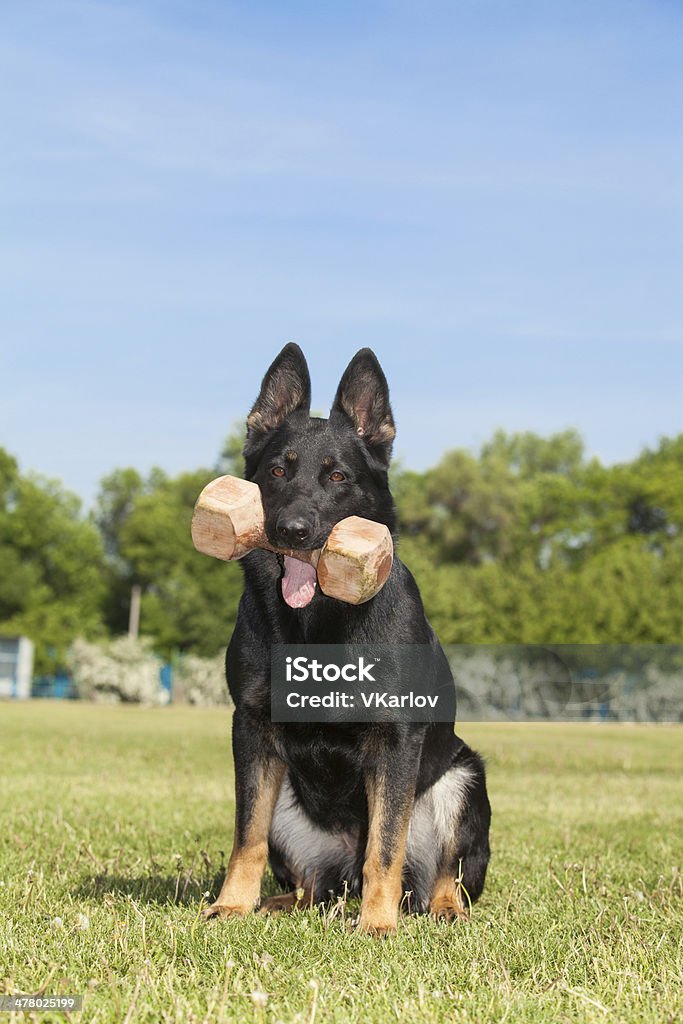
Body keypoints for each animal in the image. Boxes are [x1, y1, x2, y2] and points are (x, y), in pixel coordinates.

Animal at [202, 346, 491, 937]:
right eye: (277, 470)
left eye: (336, 475)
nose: (291, 530)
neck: (316, 623)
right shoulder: (252, 730)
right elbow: (246, 837)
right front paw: (232, 905)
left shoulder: (396, 738)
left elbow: (384, 846)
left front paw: (377, 924)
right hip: (289, 805)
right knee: (307, 882)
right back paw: (278, 902)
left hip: (464, 779)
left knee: (439, 872)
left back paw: (440, 909)